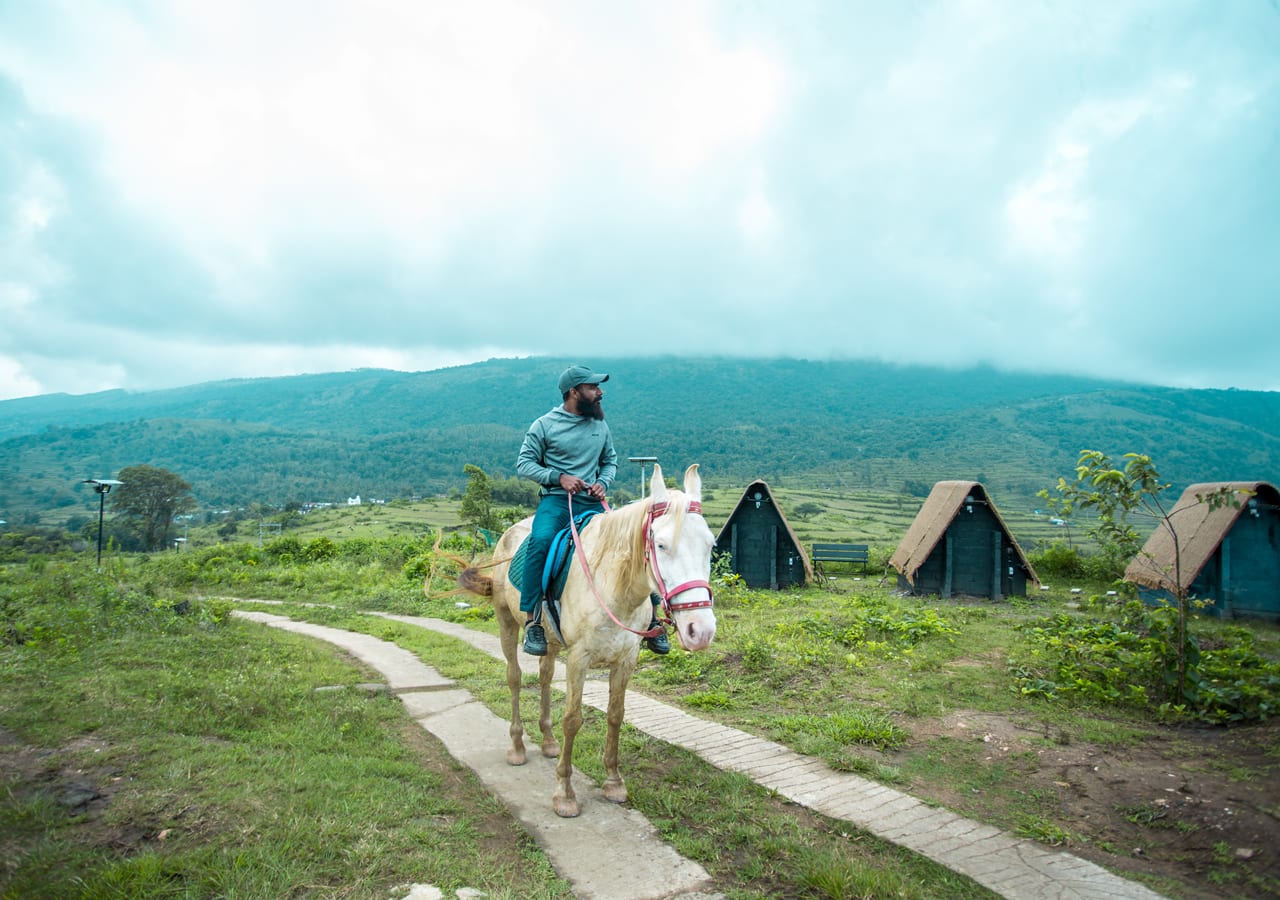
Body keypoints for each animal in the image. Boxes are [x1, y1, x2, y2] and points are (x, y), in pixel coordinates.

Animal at [458, 466, 721, 819]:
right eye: (662, 545)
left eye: (710, 545)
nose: (700, 630)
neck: (615, 587)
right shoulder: (579, 658)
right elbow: (573, 720)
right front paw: (565, 794)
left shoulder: (626, 658)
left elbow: (616, 715)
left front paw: (613, 782)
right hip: (506, 623)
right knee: (514, 678)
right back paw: (517, 747)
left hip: (550, 639)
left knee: (544, 676)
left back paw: (548, 741)